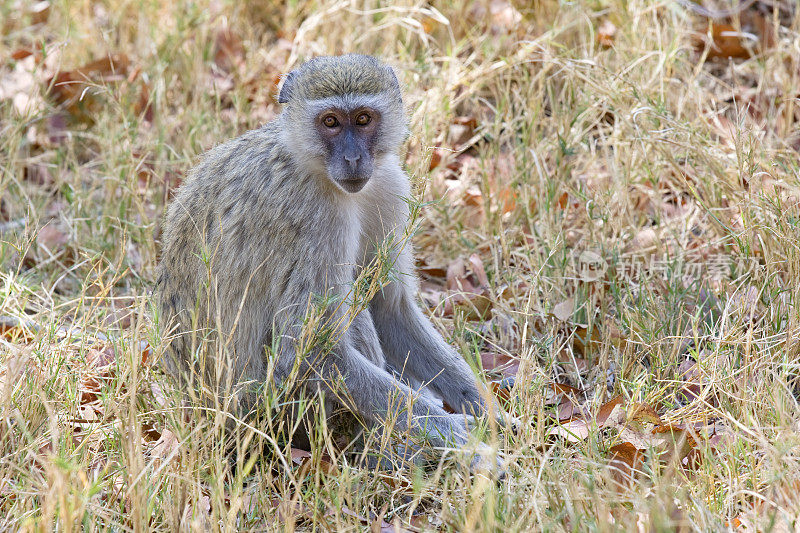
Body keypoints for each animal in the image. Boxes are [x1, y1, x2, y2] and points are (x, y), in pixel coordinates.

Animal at [157, 54, 500, 468]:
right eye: (331, 122)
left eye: (364, 119)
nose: (353, 159)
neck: (308, 161)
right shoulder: (316, 216)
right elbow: (308, 351)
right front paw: (458, 437)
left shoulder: (388, 185)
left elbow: (391, 308)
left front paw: (485, 409)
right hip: (279, 412)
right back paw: (386, 451)